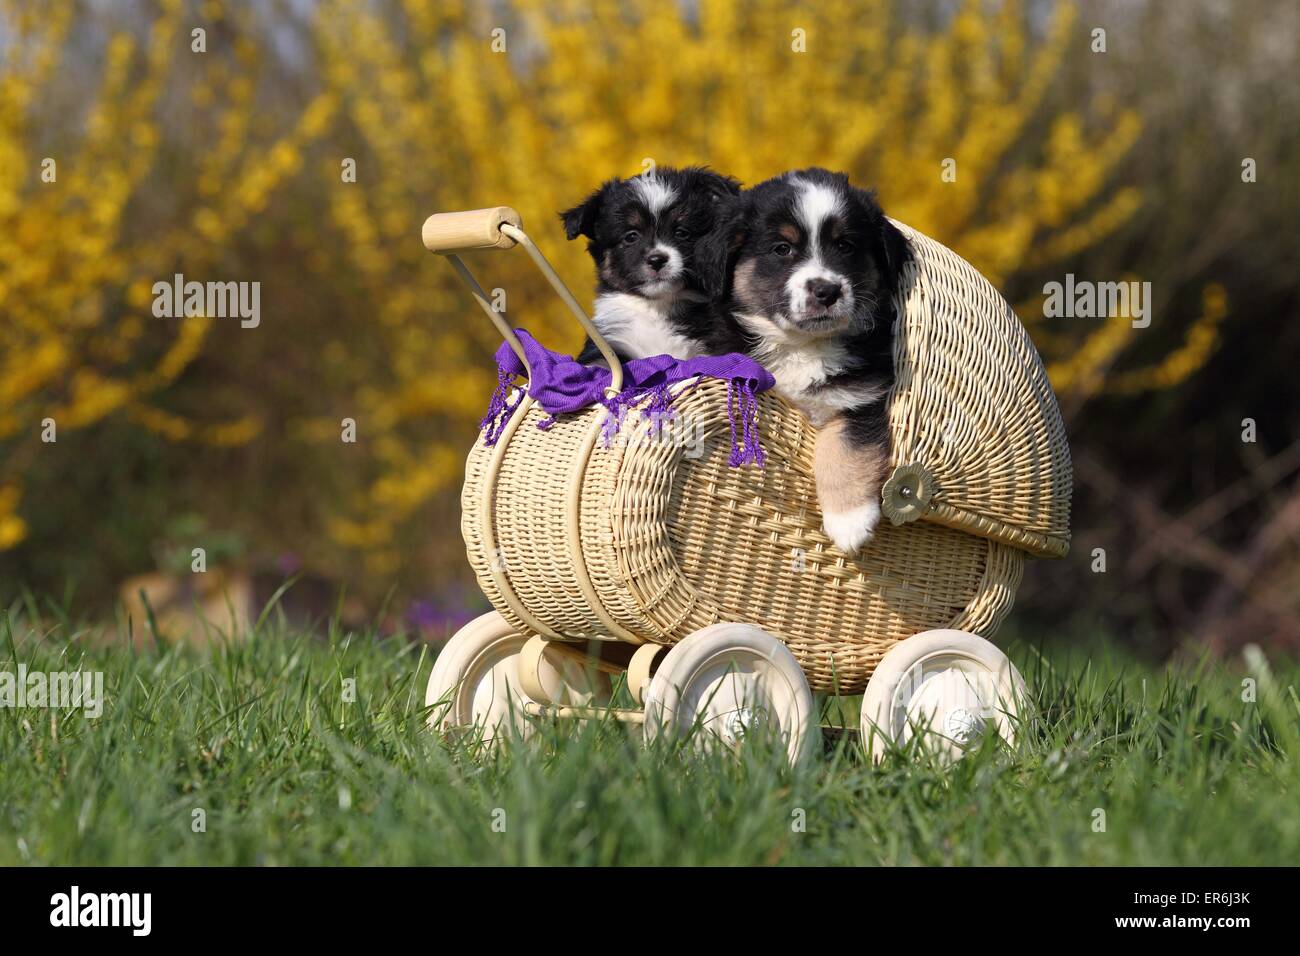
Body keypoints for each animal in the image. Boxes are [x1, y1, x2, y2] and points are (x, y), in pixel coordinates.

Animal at [702, 167, 915, 548]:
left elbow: (844, 449)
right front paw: (850, 522)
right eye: (782, 249)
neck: (802, 345)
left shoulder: (859, 396)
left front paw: (849, 522)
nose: (827, 291)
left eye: (845, 246)